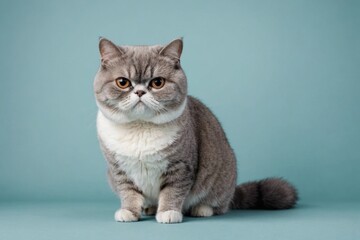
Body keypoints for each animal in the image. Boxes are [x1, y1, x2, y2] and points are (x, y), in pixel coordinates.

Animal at [93, 37, 298, 223]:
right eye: (122, 82)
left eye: (158, 82)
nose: (140, 92)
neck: (140, 128)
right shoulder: (119, 171)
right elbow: (128, 193)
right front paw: (129, 211)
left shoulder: (180, 167)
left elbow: (172, 192)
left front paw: (168, 212)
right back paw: (150, 207)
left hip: (221, 177)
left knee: (220, 205)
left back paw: (202, 209)